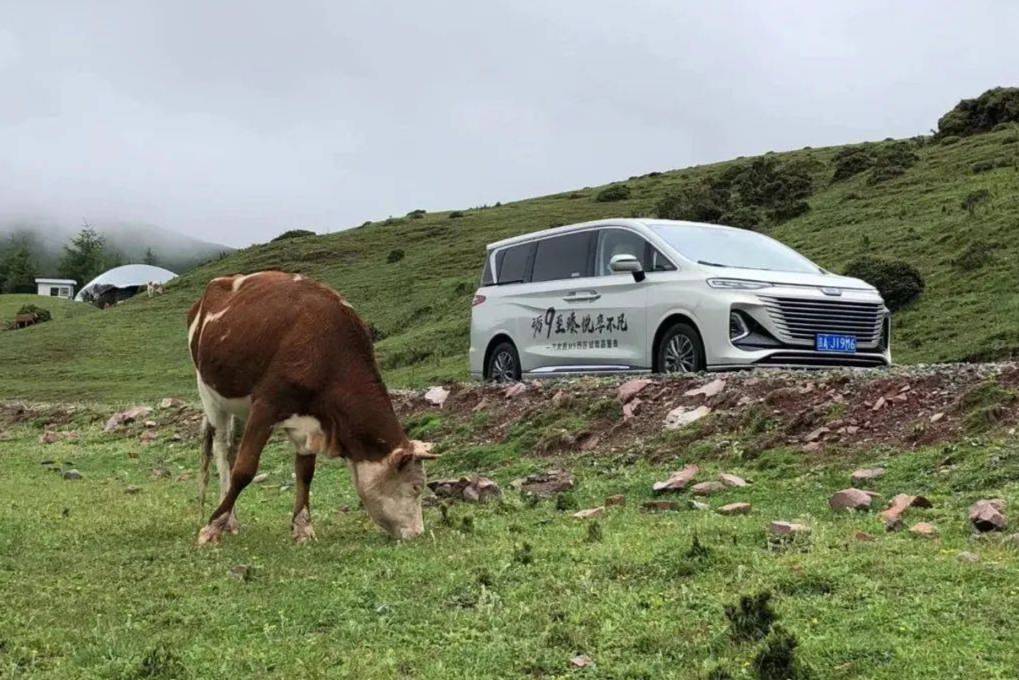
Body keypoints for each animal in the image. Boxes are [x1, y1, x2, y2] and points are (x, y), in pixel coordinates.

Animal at [189, 269, 436, 546]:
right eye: (415, 488)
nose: (418, 533)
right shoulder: (266, 406)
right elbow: (245, 470)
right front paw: (212, 527)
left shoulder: (308, 422)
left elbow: (305, 473)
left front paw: (303, 528)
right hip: (209, 393)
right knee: (222, 450)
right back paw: (226, 520)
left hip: (239, 406)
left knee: (231, 450)